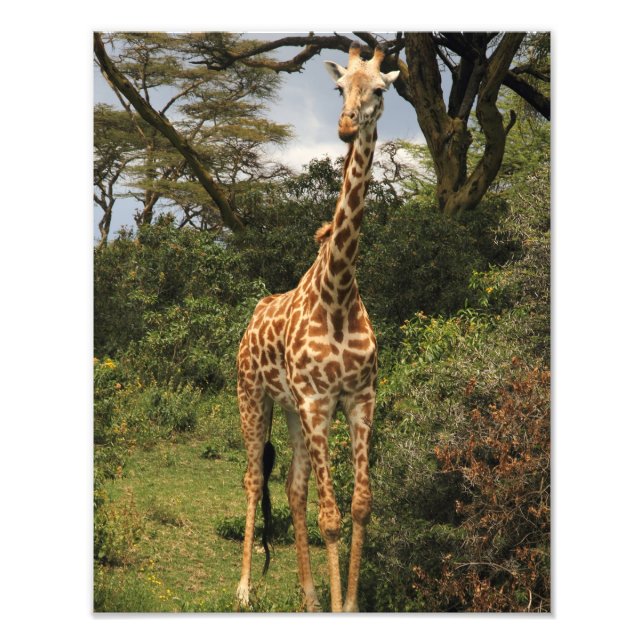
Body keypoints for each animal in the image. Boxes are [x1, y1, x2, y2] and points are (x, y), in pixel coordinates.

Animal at [235, 43, 399, 613]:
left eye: (380, 89)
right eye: (338, 87)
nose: (347, 125)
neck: (338, 291)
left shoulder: (359, 398)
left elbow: (360, 505)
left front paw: (345, 604)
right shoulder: (317, 401)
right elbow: (330, 518)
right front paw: (336, 607)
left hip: (290, 410)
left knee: (292, 485)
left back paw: (307, 596)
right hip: (254, 398)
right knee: (253, 479)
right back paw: (243, 589)